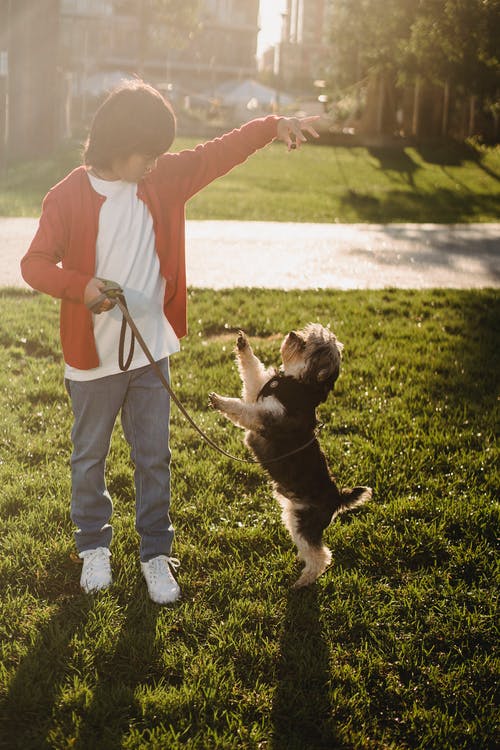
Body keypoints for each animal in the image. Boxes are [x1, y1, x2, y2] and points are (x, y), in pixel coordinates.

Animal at [208, 326, 372, 592]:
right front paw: (243, 345)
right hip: (293, 516)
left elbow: (242, 409)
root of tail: (337, 498)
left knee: (321, 556)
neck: (296, 383)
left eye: (308, 345)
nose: (294, 333)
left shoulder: (264, 416)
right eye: (307, 334)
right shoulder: (257, 393)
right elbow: (252, 372)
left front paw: (221, 401)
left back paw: (303, 582)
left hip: (303, 523)